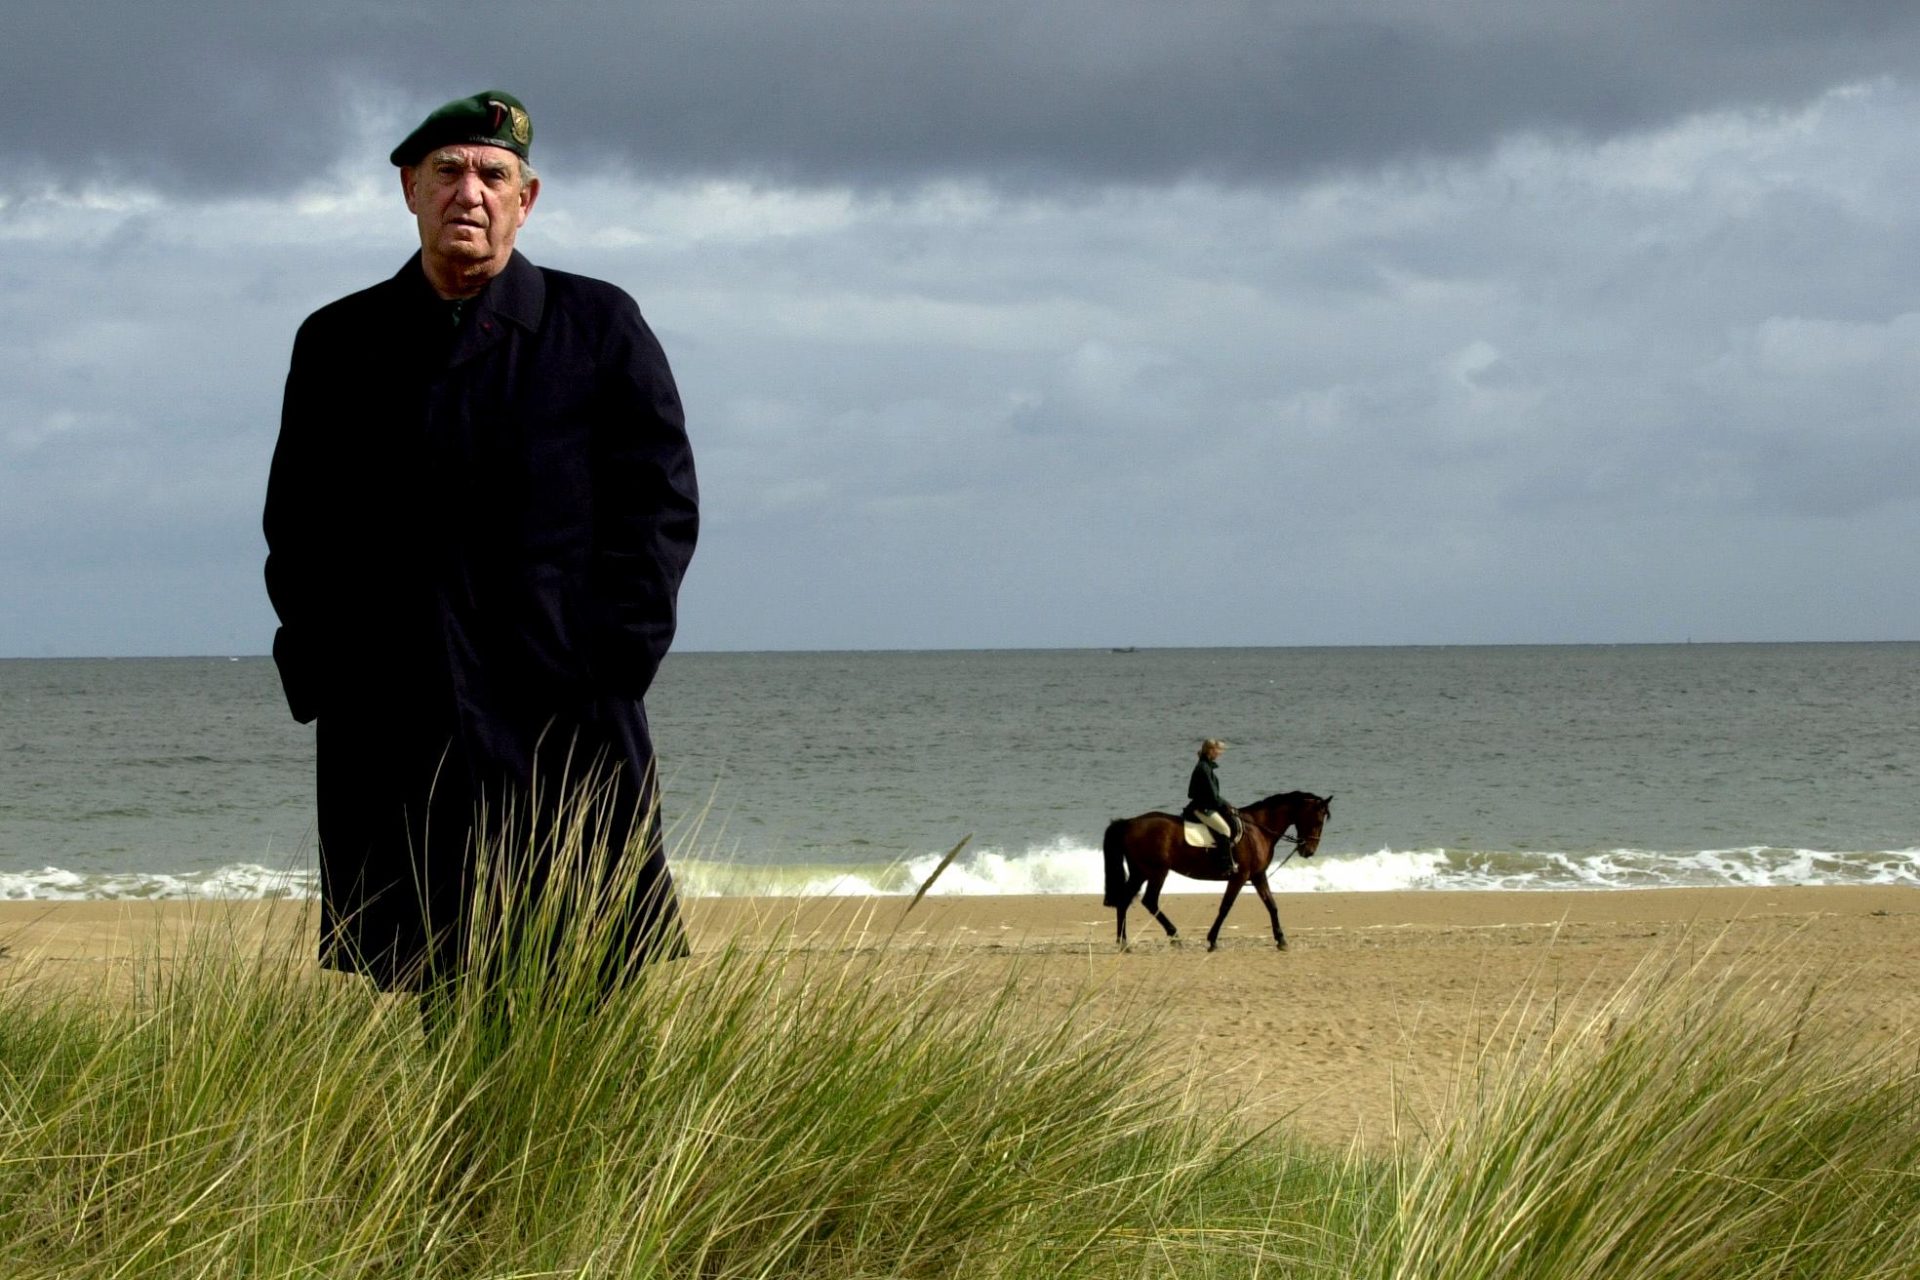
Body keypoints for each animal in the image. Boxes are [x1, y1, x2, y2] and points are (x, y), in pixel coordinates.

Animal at [1105, 790, 1328, 951]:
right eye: (1318, 821)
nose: (1308, 851)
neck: (1258, 829)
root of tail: (1129, 823)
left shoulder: (1258, 876)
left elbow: (1271, 905)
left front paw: (1281, 940)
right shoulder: (1240, 876)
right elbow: (1225, 907)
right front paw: (1212, 940)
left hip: (1140, 872)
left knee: (1125, 900)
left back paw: (1124, 943)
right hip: (1156, 872)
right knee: (1149, 900)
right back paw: (1172, 937)